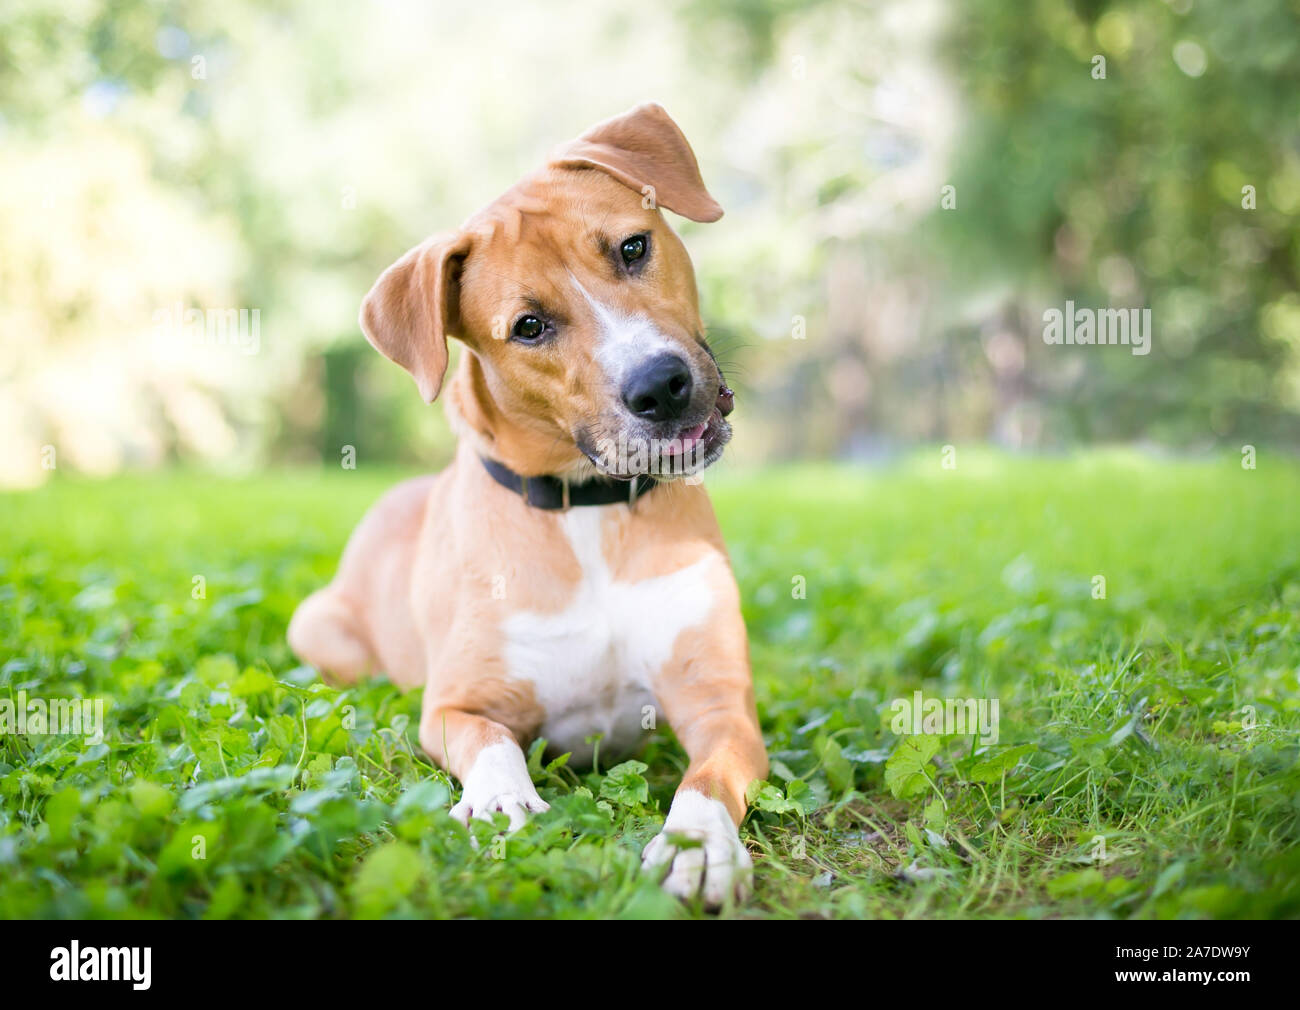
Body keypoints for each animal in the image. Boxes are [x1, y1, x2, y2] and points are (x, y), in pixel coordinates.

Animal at [289, 104, 764, 904]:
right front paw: (501, 803)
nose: (660, 385)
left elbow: (709, 776)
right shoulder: (458, 705)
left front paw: (697, 842)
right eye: (529, 327)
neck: (588, 509)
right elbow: (489, 744)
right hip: (317, 628)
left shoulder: (720, 703)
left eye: (633, 247)